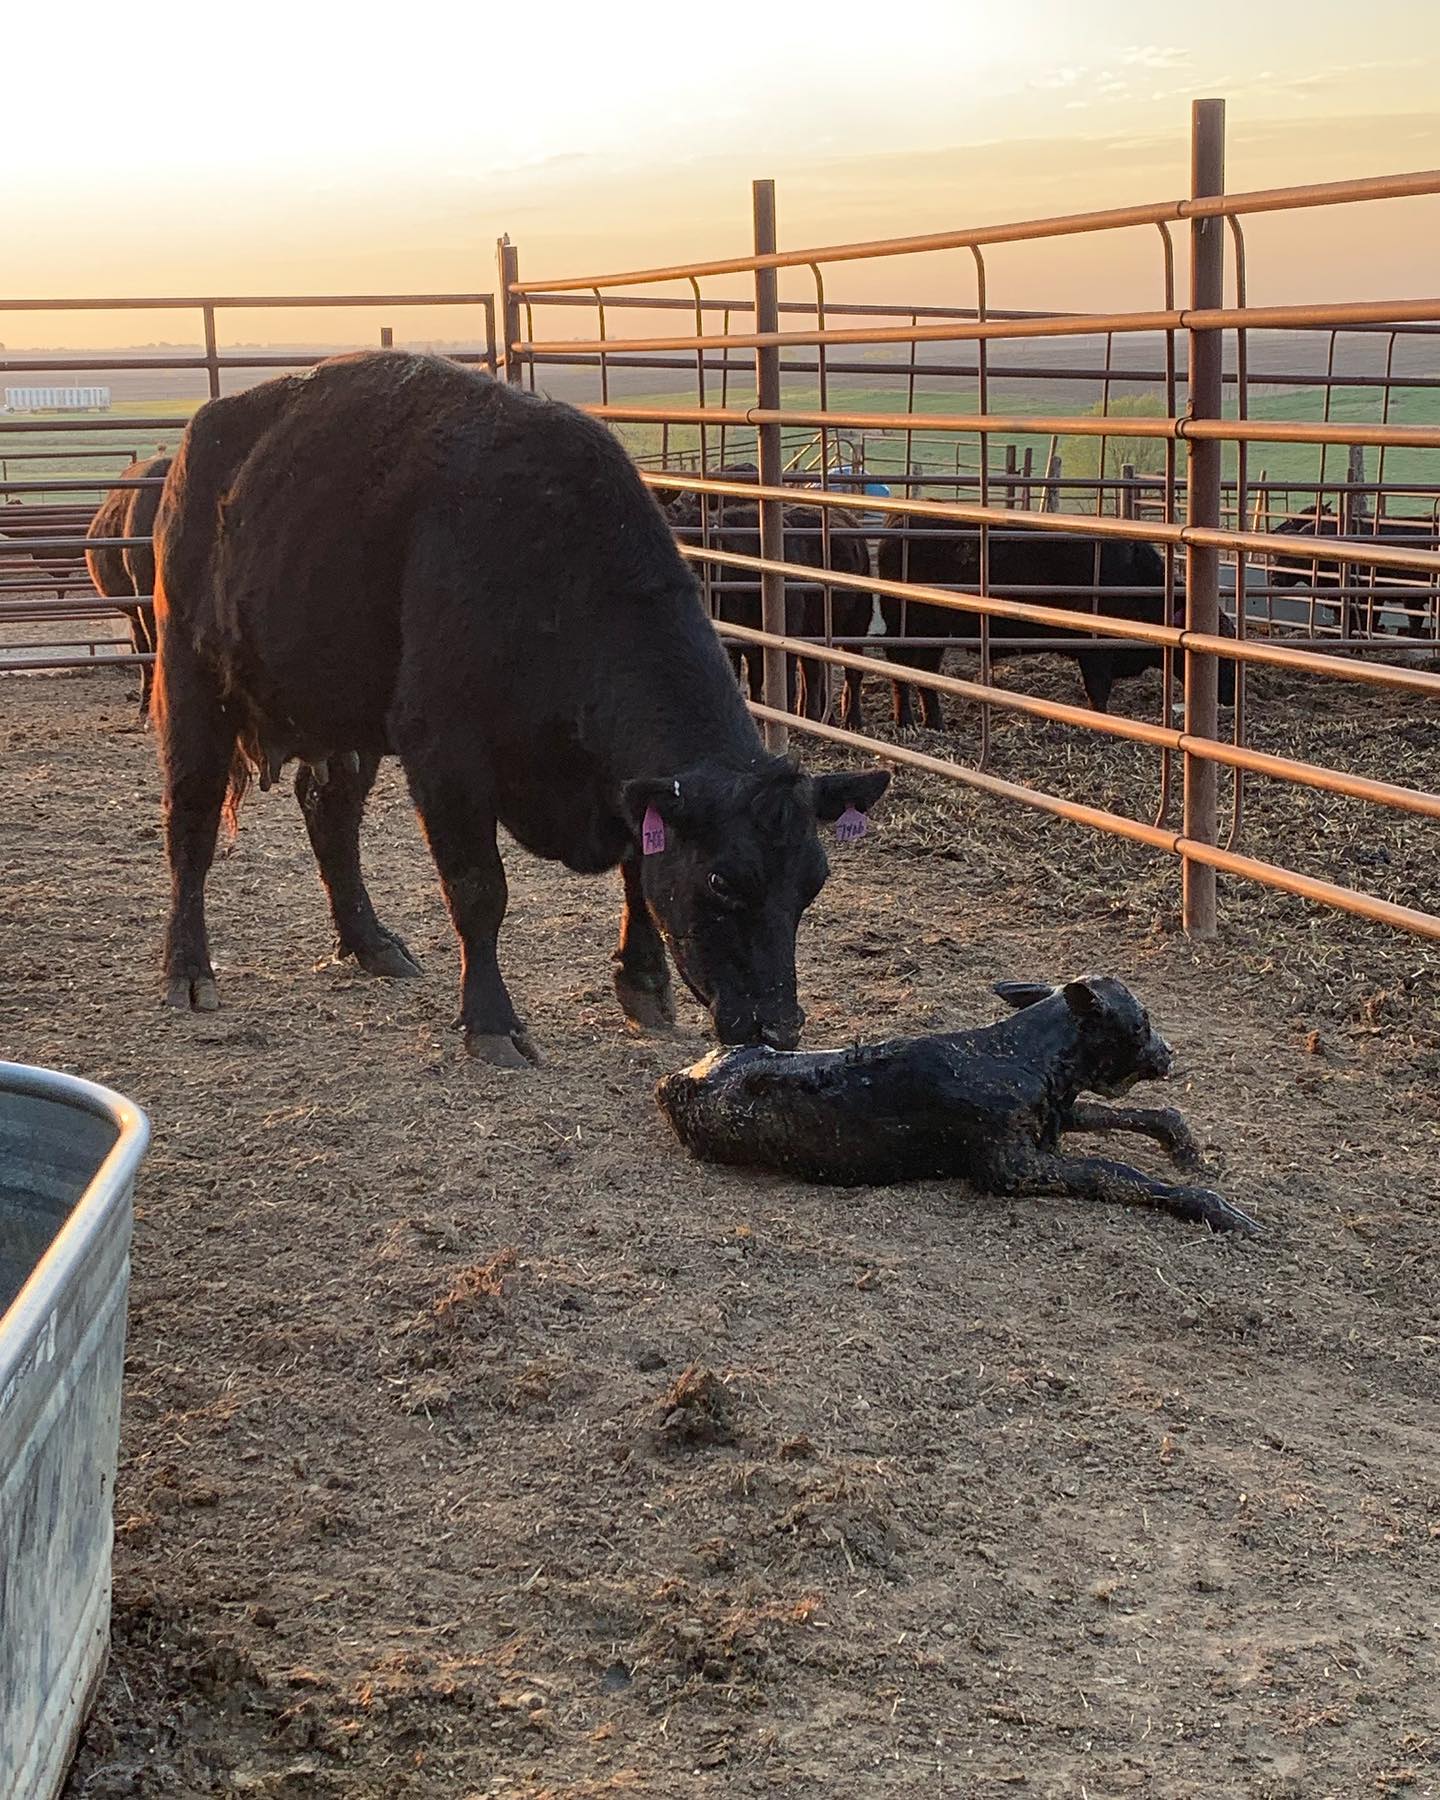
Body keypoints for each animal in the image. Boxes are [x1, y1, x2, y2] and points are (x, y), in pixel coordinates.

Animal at [876, 520, 1237, 728]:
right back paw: (906, 720)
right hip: (913, 627)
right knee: (901, 667)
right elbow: (1098, 691)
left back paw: (933, 721)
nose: (1230, 695)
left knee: (924, 672)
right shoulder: (1095, 652)